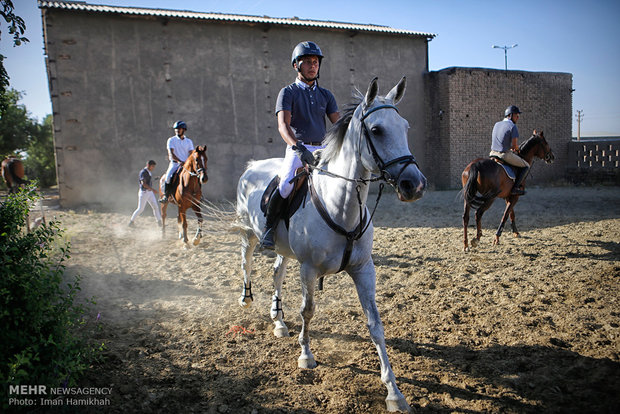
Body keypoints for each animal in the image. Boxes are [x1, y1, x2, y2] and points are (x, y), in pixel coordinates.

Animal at [235, 77, 424, 410]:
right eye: (377, 130)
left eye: (405, 126)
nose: (414, 184)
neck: (341, 205)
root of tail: (253, 166)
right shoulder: (309, 269)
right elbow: (308, 310)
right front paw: (306, 355)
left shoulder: (364, 269)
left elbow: (375, 325)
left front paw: (393, 391)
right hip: (249, 232)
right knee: (246, 260)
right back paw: (246, 298)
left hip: (284, 249)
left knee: (277, 272)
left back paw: (278, 321)